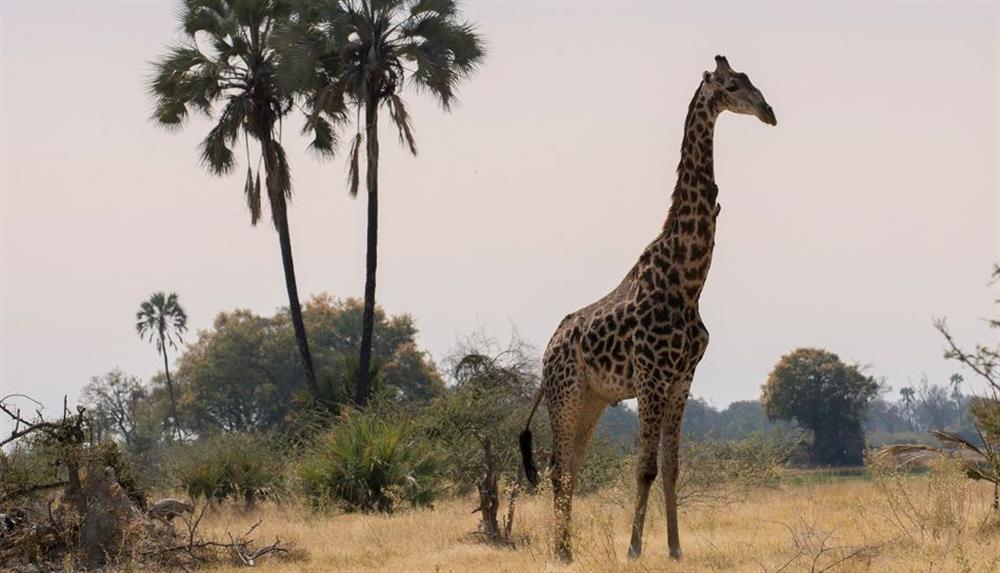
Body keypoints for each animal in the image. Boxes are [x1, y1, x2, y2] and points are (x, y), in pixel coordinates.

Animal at [520, 55, 776, 560]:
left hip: (593, 399)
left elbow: (671, 467)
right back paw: (561, 551)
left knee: (570, 466)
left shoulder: (682, 380)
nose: (769, 112)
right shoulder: (651, 379)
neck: (689, 280)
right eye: (732, 85)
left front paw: (675, 549)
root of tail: (547, 353)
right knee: (558, 468)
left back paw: (568, 547)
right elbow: (645, 468)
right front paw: (634, 548)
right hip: (566, 394)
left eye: (752, 81)